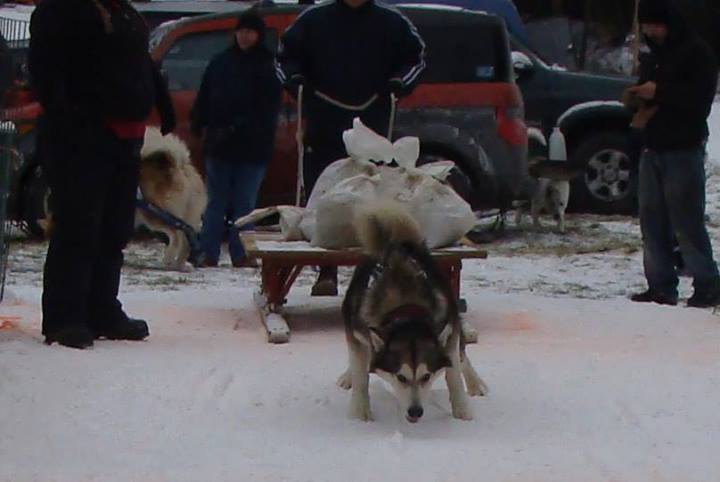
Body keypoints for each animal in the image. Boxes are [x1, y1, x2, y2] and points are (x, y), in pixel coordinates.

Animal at [136, 128, 207, 272]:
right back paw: (180, 265)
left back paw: (168, 260)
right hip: (187, 215)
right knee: (186, 239)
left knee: (176, 236)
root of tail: (180, 165)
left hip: (154, 214)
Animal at [338, 201, 490, 422]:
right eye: (401, 377)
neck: (405, 308)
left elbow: (453, 373)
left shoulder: (449, 326)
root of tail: (394, 238)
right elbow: (361, 374)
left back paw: (475, 383)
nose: (415, 411)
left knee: (462, 356)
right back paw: (348, 376)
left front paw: (462, 411)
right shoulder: (357, 331)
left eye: (426, 376)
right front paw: (360, 413)